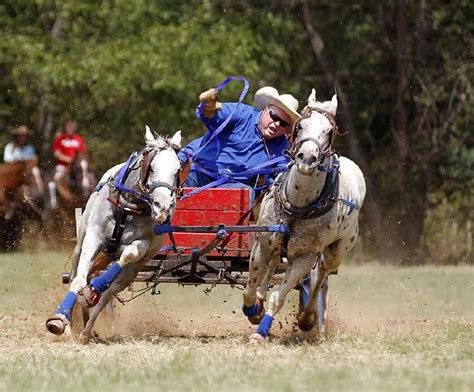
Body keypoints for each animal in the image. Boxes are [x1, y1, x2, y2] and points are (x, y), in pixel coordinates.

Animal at [46, 127, 187, 342]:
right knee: (74, 277)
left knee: (108, 294)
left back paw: (87, 327)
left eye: (177, 170)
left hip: (131, 272)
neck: (129, 206)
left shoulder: (143, 246)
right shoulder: (94, 237)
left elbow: (130, 253)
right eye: (151, 167)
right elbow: (78, 280)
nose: (162, 208)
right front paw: (60, 319)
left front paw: (95, 288)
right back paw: (72, 323)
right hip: (80, 246)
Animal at [241, 90, 366, 342]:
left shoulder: (305, 257)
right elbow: (249, 289)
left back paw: (307, 318)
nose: (306, 158)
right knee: (274, 266)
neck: (298, 206)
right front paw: (255, 309)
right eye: (300, 126)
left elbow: (279, 296)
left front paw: (260, 333)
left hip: (336, 251)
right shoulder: (263, 244)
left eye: (329, 131)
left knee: (321, 276)